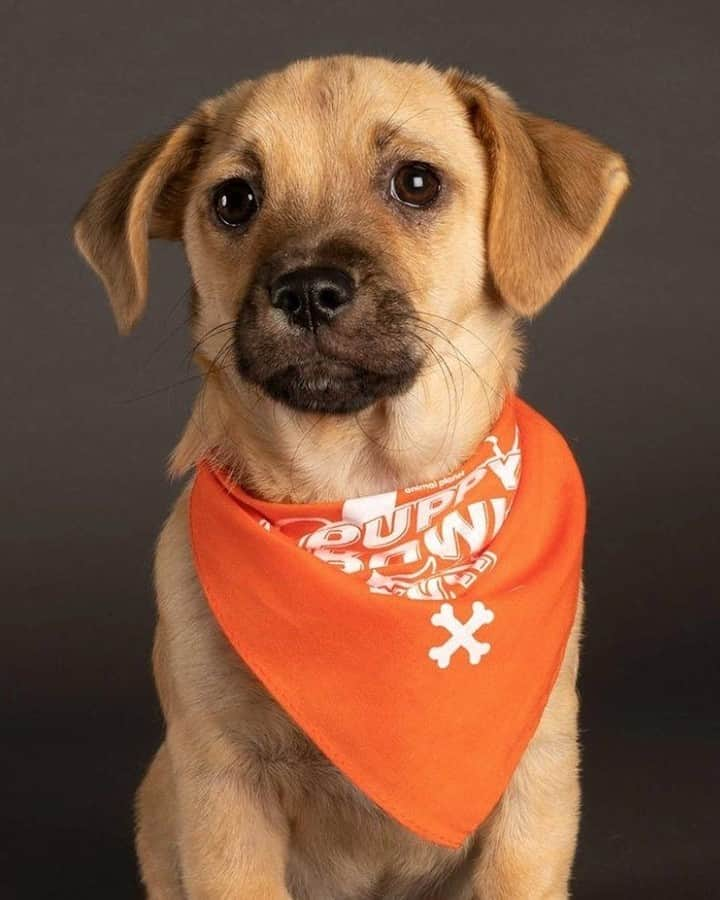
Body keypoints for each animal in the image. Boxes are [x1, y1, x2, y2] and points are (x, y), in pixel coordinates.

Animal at [70, 56, 628, 900]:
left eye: (417, 183)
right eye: (234, 200)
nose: (307, 290)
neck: (364, 498)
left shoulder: (535, 787)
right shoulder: (224, 791)